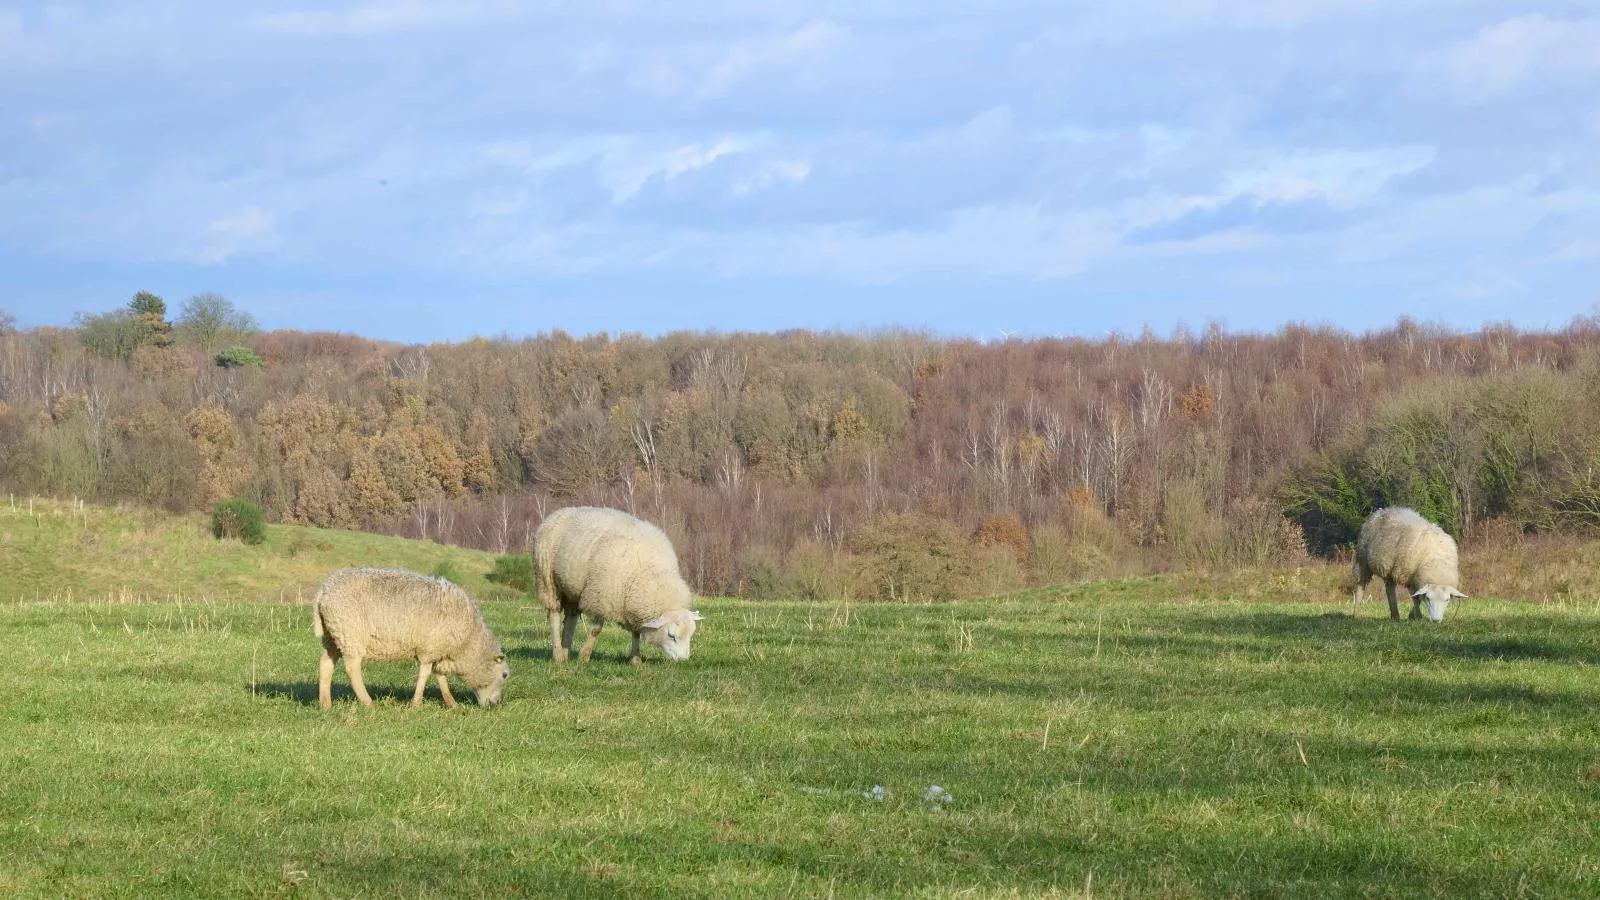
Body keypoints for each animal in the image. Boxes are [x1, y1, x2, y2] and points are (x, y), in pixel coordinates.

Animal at [312, 566, 512, 707]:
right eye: (504, 675)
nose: (496, 704)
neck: (469, 642)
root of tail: (323, 591)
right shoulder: (430, 649)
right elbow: (425, 675)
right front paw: (416, 703)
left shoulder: (438, 651)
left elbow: (440, 678)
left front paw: (451, 703)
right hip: (350, 633)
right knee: (352, 668)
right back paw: (367, 702)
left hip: (332, 635)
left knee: (326, 664)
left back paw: (325, 704)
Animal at [534, 506, 704, 659]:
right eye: (671, 636)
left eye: (691, 635)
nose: (684, 660)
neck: (652, 572)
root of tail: (558, 512)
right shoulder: (601, 597)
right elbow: (595, 630)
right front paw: (584, 657)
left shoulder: (632, 602)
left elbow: (636, 632)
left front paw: (635, 659)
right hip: (547, 580)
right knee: (554, 615)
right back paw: (558, 655)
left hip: (572, 589)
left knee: (571, 618)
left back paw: (566, 651)